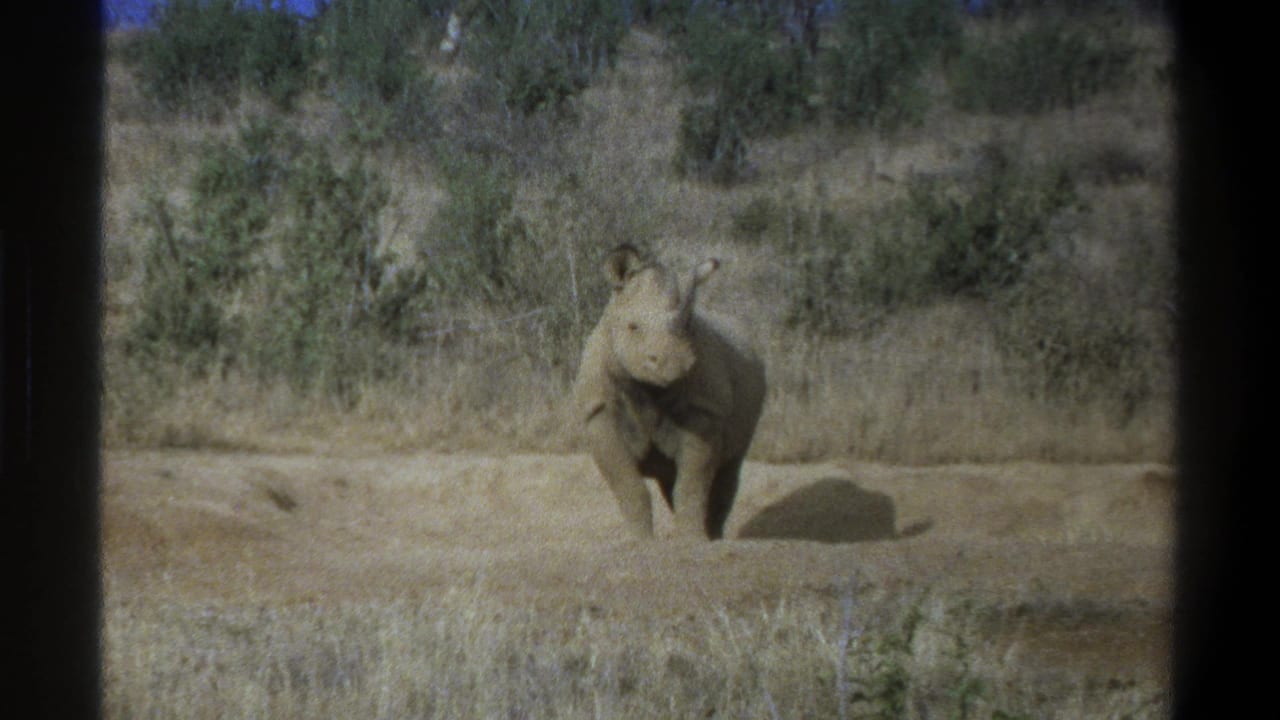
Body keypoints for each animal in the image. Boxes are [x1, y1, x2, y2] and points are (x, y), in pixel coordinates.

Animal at [573, 245, 766, 540]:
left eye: (687, 326)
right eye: (633, 327)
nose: (673, 362)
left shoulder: (704, 408)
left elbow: (692, 485)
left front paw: (692, 540)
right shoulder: (599, 411)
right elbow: (629, 486)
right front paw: (639, 542)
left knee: (728, 469)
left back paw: (714, 538)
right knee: (670, 479)